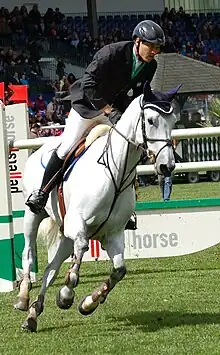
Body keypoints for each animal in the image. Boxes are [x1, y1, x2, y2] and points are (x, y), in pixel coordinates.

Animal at [14, 82, 180, 332]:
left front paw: (88, 303)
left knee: (50, 270)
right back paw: (23, 297)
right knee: (29, 252)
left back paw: (33, 315)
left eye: (173, 122)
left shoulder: (112, 234)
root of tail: (41, 148)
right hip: (33, 215)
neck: (116, 173)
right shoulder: (78, 226)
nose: (166, 166)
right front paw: (65, 296)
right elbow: (79, 259)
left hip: (64, 234)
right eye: (151, 120)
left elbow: (119, 270)